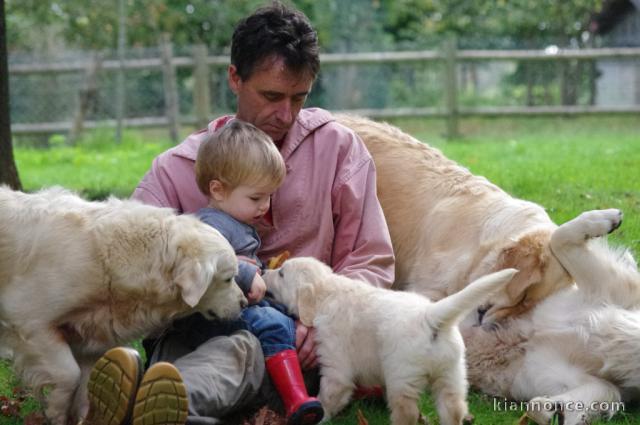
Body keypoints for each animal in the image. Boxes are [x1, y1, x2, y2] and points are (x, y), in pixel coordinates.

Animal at [0, 186, 248, 424]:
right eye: (228, 279)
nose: (244, 303)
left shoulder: (87, 337)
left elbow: (85, 384)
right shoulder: (30, 322)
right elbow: (69, 374)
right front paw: (55, 411)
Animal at [262, 256, 516, 422]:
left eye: (282, 273)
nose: (263, 271)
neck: (326, 293)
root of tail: (430, 316)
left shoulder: (336, 365)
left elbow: (329, 397)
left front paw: (319, 414)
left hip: (403, 375)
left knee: (407, 411)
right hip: (452, 373)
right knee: (453, 408)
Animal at [462, 210, 636, 424]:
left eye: (525, 296)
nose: (480, 313)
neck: (520, 339)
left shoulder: (614, 289)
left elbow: (559, 237)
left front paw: (604, 218)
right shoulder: (581, 381)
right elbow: (538, 405)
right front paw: (559, 411)